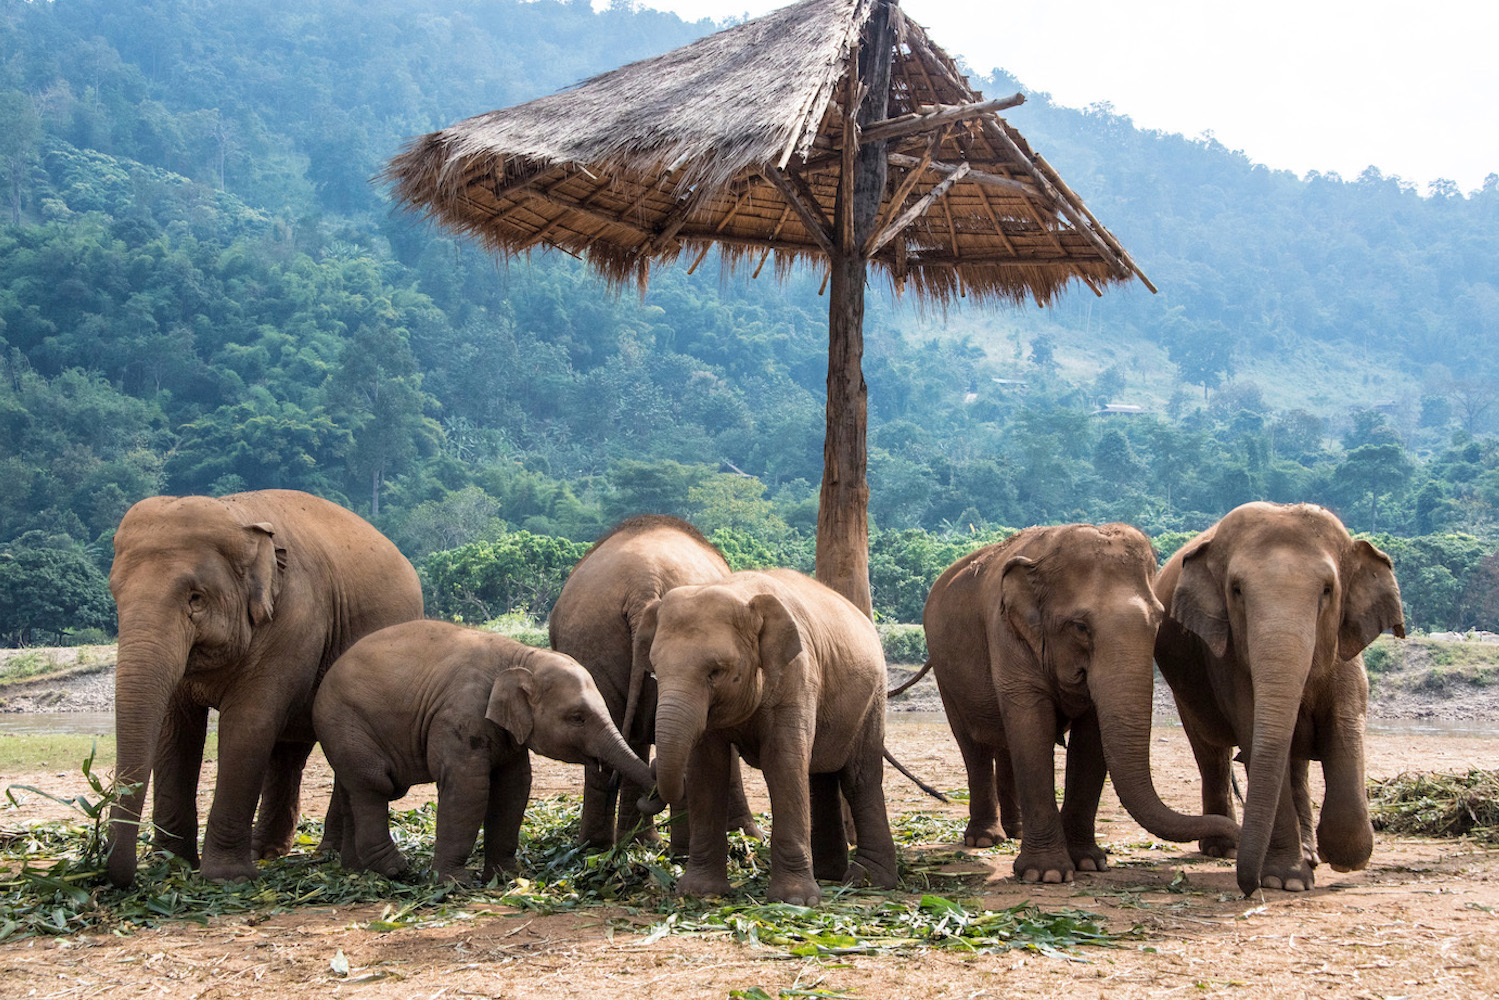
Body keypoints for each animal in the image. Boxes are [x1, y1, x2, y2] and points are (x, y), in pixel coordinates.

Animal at [105, 489, 423, 887]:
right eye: (115, 595)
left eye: (196, 597)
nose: (117, 877)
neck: (240, 515)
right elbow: (175, 731)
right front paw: (172, 867)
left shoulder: (293, 621)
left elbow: (248, 725)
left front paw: (225, 877)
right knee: (288, 751)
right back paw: (267, 852)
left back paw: (326, 853)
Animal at [312, 620, 654, 883]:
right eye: (577, 717)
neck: (522, 656)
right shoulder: (461, 719)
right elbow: (468, 788)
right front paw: (454, 883)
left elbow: (514, 787)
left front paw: (507, 877)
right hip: (345, 723)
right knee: (373, 785)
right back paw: (397, 870)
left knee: (350, 787)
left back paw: (356, 869)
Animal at [635, 568, 897, 906]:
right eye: (655, 670)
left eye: (716, 671)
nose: (654, 775)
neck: (740, 592)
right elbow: (707, 770)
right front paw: (699, 893)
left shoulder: (796, 677)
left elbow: (783, 763)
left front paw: (795, 900)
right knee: (819, 775)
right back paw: (828, 874)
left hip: (873, 698)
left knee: (859, 778)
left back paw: (868, 881)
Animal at [917, 523, 1240, 884]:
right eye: (1080, 626)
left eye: (1158, 621)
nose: (1237, 837)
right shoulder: (1006, 635)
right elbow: (1032, 730)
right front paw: (1046, 873)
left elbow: (1090, 742)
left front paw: (1088, 862)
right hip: (945, 674)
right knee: (974, 746)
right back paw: (985, 839)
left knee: (1004, 744)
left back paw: (1015, 832)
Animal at [1154, 501, 1405, 896]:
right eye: (1237, 590)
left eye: (1327, 590)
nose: (1249, 889)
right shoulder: (1227, 659)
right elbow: (1255, 731)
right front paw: (1285, 881)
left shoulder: (1345, 653)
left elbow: (1345, 725)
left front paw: (1344, 859)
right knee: (1212, 753)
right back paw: (1223, 849)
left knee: (1295, 762)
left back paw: (1310, 854)